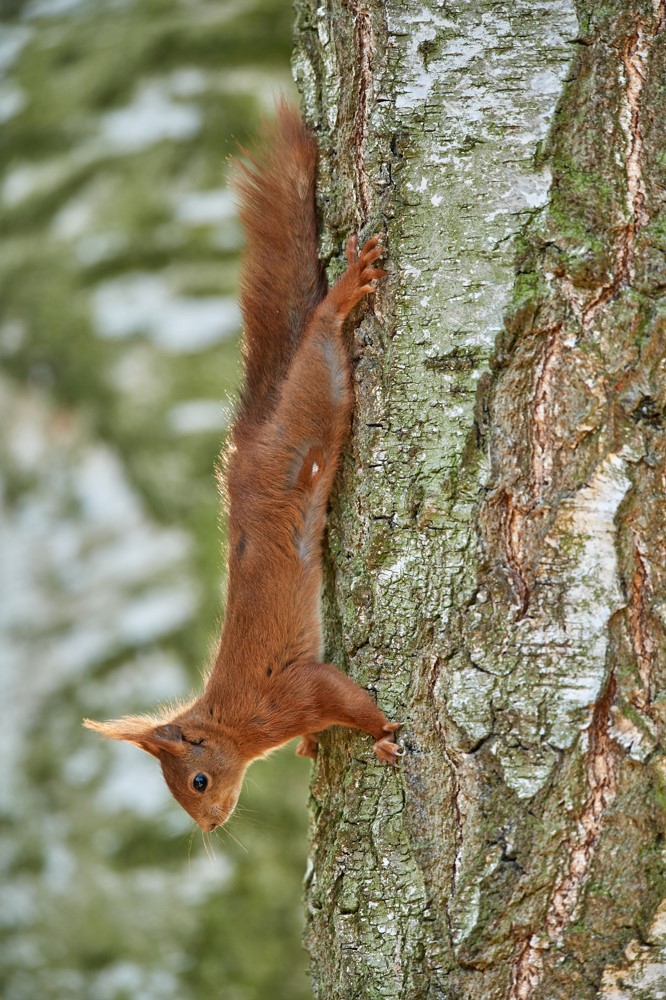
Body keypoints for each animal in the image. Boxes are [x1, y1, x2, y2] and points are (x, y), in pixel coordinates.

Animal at [84, 103, 399, 833]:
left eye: (197, 780)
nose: (209, 826)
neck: (231, 722)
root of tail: (248, 446)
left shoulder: (289, 692)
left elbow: (344, 699)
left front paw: (382, 733)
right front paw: (314, 747)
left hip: (312, 408)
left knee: (320, 339)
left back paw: (343, 294)